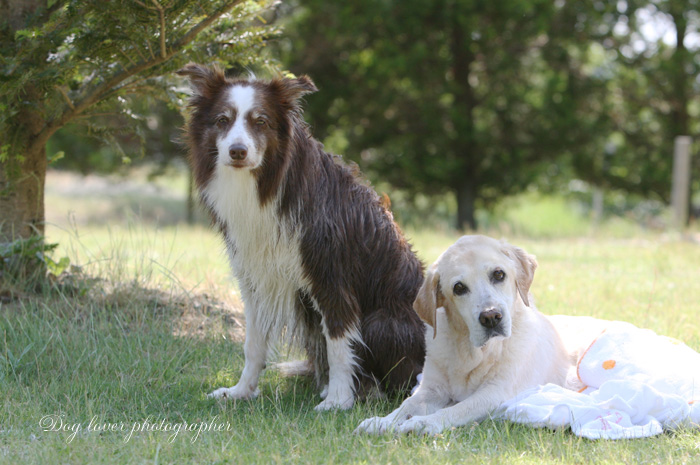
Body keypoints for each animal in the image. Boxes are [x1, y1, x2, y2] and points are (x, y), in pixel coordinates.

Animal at [356, 236, 608, 436]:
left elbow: (456, 409)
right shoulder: (431, 390)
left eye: (498, 274)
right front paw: (381, 422)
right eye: (458, 288)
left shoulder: (496, 392)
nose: (491, 317)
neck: (471, 351)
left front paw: (423, 423)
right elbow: (406, 405)